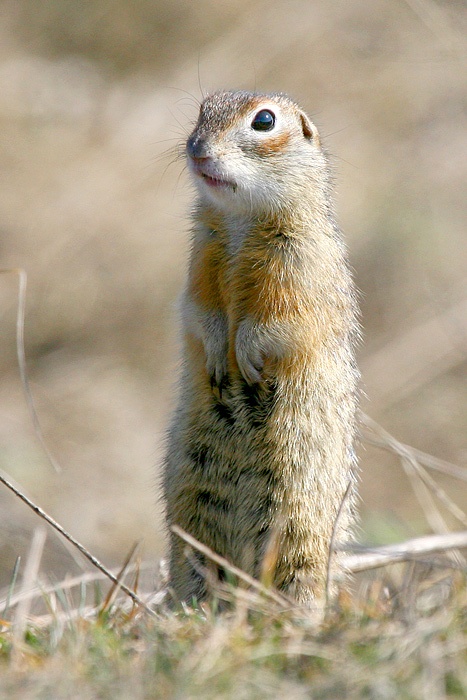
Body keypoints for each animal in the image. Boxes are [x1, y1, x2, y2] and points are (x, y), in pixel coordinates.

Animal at [165, 90, 362, 604]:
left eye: (265, 121)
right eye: (202, 109)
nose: (197, 149)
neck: (240, 220)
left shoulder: (300, 262)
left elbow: (280, 322)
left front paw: (248, 357)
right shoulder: (201, 259)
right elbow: (198, 311)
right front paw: (219, 353)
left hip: (297, 519)